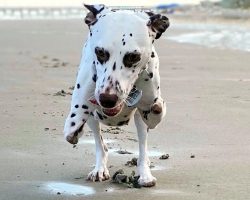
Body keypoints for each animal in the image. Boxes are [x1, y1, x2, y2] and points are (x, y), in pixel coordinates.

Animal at [64, 3, 170, 187]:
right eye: (100, 52)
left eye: (133, 57)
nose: (107, 99)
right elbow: (76, 117)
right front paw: (74, 128)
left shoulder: (149, 106)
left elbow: (155, 111)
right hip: (93, 119)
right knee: (101, 146)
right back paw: (99, 169)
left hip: (140, 124)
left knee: (142, 148)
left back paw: (145, 174)